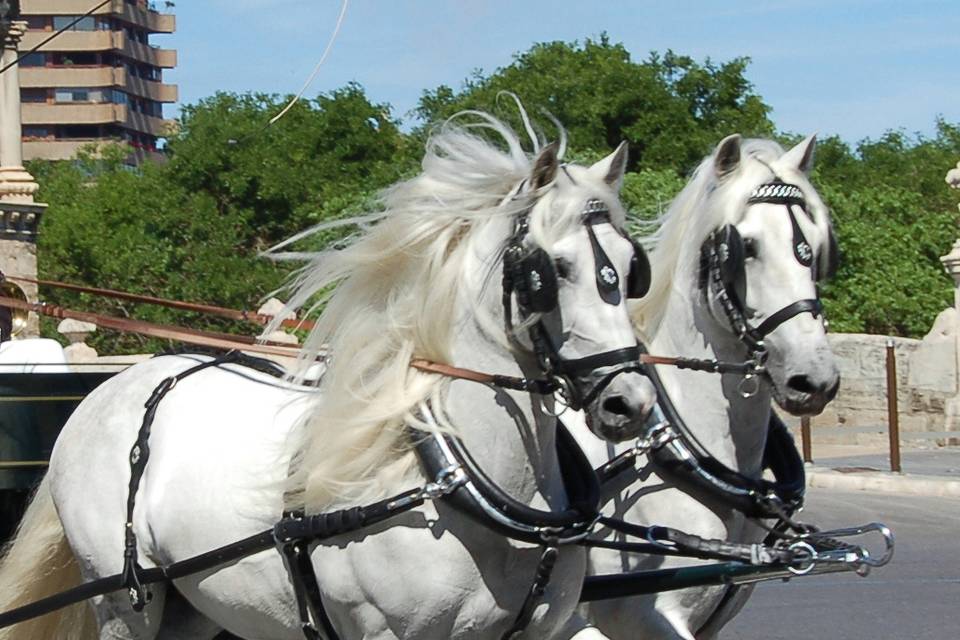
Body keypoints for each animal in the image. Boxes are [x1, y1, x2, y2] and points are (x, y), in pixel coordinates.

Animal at [0, 115, 660, 640]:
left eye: (632, 268)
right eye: (551, 271)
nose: (628, 401)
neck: (449, 476)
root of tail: (113, 388)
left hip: (194, 605)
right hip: (124, 599)